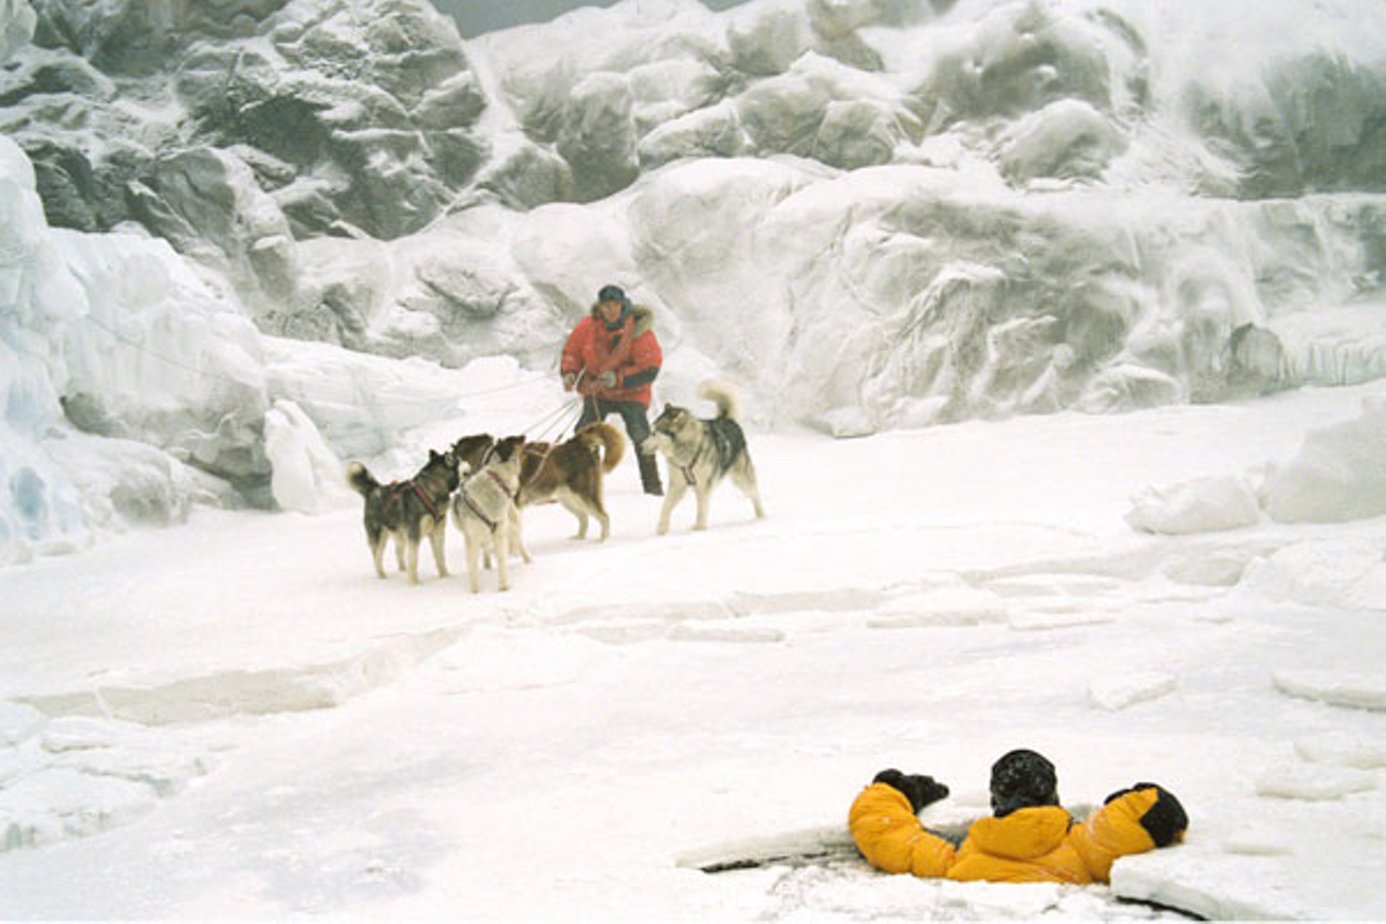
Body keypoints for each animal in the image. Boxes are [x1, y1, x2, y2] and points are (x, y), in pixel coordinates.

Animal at [345, 446, 460, 581]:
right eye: (460, 459)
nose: (468, 465)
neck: (431, 489)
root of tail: (374, 489)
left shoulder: (438, 533)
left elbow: (440, 558)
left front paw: (445, 576)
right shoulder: (414, 535)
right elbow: (414, 561)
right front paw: (415, 582)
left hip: (400, 534)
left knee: (397, 552)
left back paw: (403, 570)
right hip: (379, 536)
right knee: (377, 557)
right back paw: (382, 575)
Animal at [449, 434, 529, 592]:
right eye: (512, 439)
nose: (524, 436)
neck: (496, 480)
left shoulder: (499, 534)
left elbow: (502, 561)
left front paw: (504, 585)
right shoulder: (472, 539)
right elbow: (472, 566)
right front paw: (475, 590)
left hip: (510, 525)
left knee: (518, 540)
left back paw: (528, 561)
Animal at [640, 376, 765, 534]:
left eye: (654, 433)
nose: (640, 446)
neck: (685, 449)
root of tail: (727, 420)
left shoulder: (704, 485)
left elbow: (701, 509)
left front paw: (699, 528)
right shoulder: (677, 485)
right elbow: (666, 506)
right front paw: (662, 528)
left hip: (741, 479)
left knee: (755, 494)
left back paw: (762, 516)